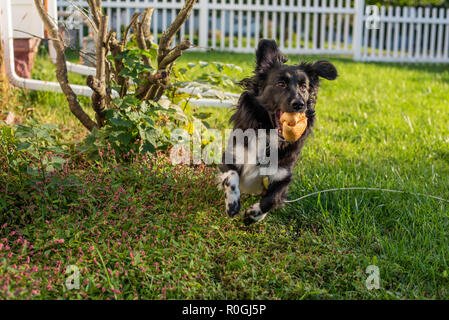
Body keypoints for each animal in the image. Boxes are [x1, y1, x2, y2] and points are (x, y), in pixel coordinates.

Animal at [217, 39, 336, 225]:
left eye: (304, 87)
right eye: (281, 84)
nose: (300, 104)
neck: (268, 134)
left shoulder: (283, 175)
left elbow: (272, 200)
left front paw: (252, 215)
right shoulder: (232, 156)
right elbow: (231, 177)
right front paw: (233, 204)